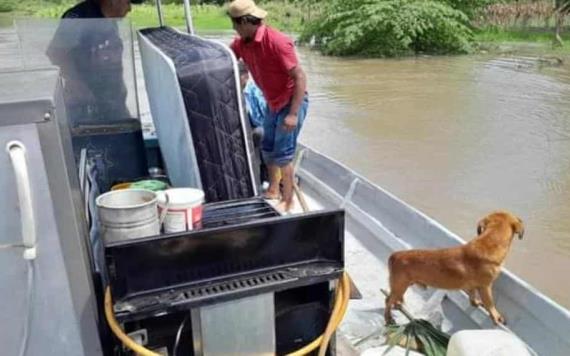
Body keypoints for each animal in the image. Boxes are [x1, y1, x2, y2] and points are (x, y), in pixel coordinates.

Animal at [384, 211, 520, 326]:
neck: (488, 243)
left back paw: (397, 306)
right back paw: (388, 318)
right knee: (387, 300)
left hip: (403, 285)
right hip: (400, 286)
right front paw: (496, 317)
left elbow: (472, 296)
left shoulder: (473, 286)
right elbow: (490, 304)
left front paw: (475, 303)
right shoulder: (485, 286)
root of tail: (395, 255)